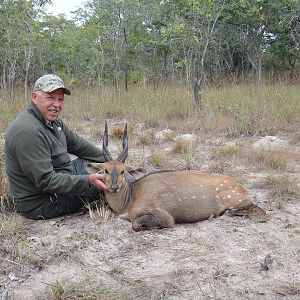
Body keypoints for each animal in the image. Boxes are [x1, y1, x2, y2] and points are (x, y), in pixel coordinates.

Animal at [85, 123, 266, 231]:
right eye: (106, 170)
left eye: (123, 171)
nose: (114, 187)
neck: (129, 200)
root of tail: (241, 187)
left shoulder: (164, 216)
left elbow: (136, 224)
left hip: (236, 200)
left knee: (258, 209)